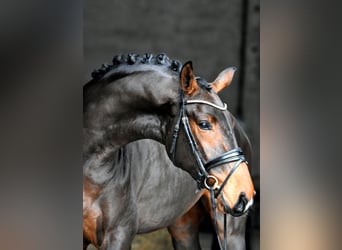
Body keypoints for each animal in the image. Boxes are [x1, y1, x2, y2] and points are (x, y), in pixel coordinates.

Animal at [82, 51, 254, 249]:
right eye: (204, 124)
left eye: (229, 124)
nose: (244, 195)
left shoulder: (119, 234)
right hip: (183, 225)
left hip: (230, 229)